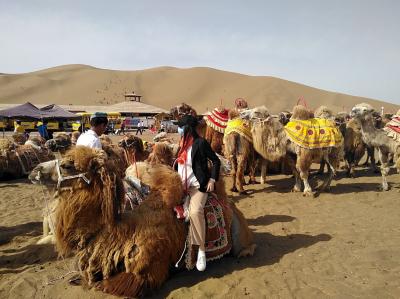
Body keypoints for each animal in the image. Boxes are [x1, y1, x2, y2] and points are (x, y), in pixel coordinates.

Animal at [29, 147, 255, 298]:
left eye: (67, 165)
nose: (34, 171)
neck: (121, 230)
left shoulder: (145, 273)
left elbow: (107, 285)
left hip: (238, 236)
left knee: (243, 248)